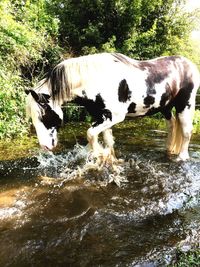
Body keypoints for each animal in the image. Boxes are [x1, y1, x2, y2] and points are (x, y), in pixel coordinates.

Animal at [25, 52, 200, 161]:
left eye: (43, 116)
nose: (45, 146)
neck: (96, 79)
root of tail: (189, 65)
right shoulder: (101, 117)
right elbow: (107, 140)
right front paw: (109, 158)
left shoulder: (114, 116)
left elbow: (90, 134)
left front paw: (97, 155)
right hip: (165, 108)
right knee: (172, 126)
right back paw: (169, 150)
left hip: (185, 105)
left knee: (186, 130)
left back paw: (182, 157)